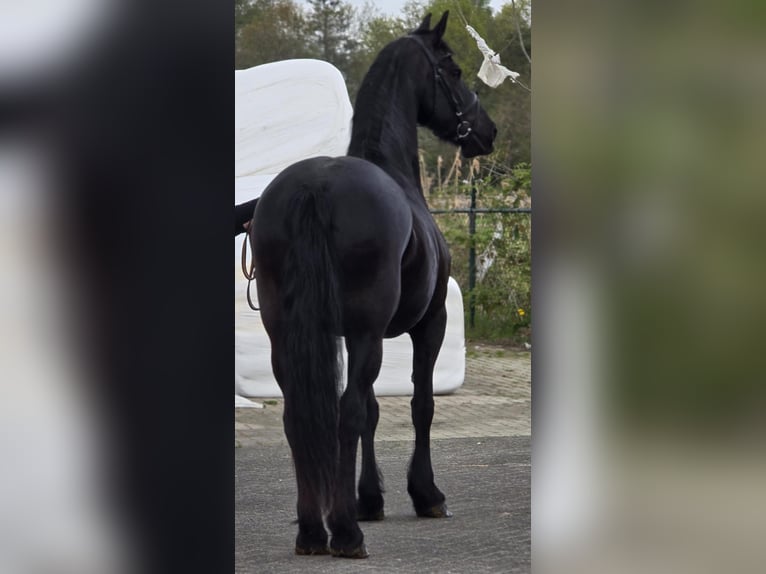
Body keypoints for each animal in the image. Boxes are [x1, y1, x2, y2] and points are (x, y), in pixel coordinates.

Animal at [247, 12, 497, 558]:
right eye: (454, 69)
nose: (486, 131)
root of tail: (316, 187)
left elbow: (374, 412)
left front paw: (371, 498)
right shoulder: (428, 324)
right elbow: (418, 405)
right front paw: (425, 495)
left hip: (285, 332)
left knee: (302, 416)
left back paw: (312, 531)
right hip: (369, 332)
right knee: (347, 412)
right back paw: (344, 532)